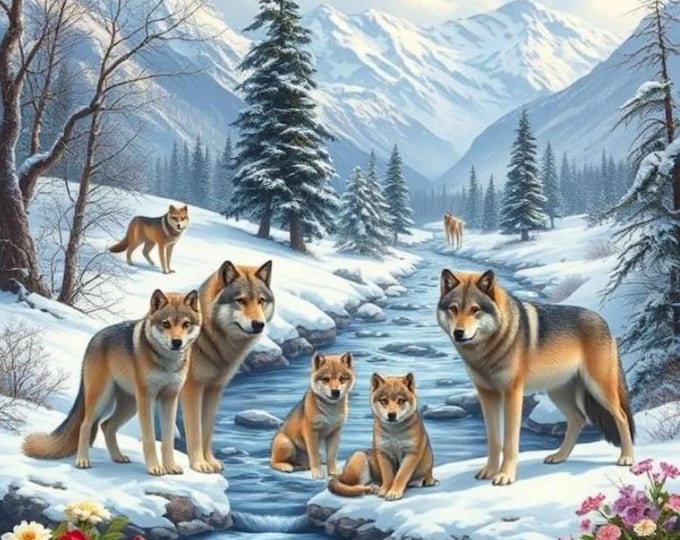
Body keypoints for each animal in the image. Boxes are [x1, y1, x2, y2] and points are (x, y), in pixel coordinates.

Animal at [22, 289, 202, 475]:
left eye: (186, 324)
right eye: (166, 324)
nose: (177, 342)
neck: (167, 362)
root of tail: (94, 338)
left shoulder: (170, 398)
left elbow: (167, 440)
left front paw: (170, 466)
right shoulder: (146, 397)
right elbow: (149, 438)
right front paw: (154, 467)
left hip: (129, 405)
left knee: (106, 425)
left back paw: (118, 457)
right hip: (102, 399)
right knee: (85, 425)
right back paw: (82, 461)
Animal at [182, 260, 274, 473]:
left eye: (261, 301)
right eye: (240, 300)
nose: (259, 324)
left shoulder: (214, 389)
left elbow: (207, 430)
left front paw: (210, 461)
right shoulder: (192, 389)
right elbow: (195, 431)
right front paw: (199, 464)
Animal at [436, 268, 635, 485]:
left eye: (474, 309)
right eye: (453, 309)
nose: (459, 333)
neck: (488, 350)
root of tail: (604, 321)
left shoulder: (512, 393)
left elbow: (510, 442)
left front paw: (505, 475)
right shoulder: (487, 394)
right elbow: (494, 441)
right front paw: (489, 471)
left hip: (599, 389)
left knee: (622, 416)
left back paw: (627, 457)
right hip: (558, 393)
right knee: (578, 419)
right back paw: (560, 456)